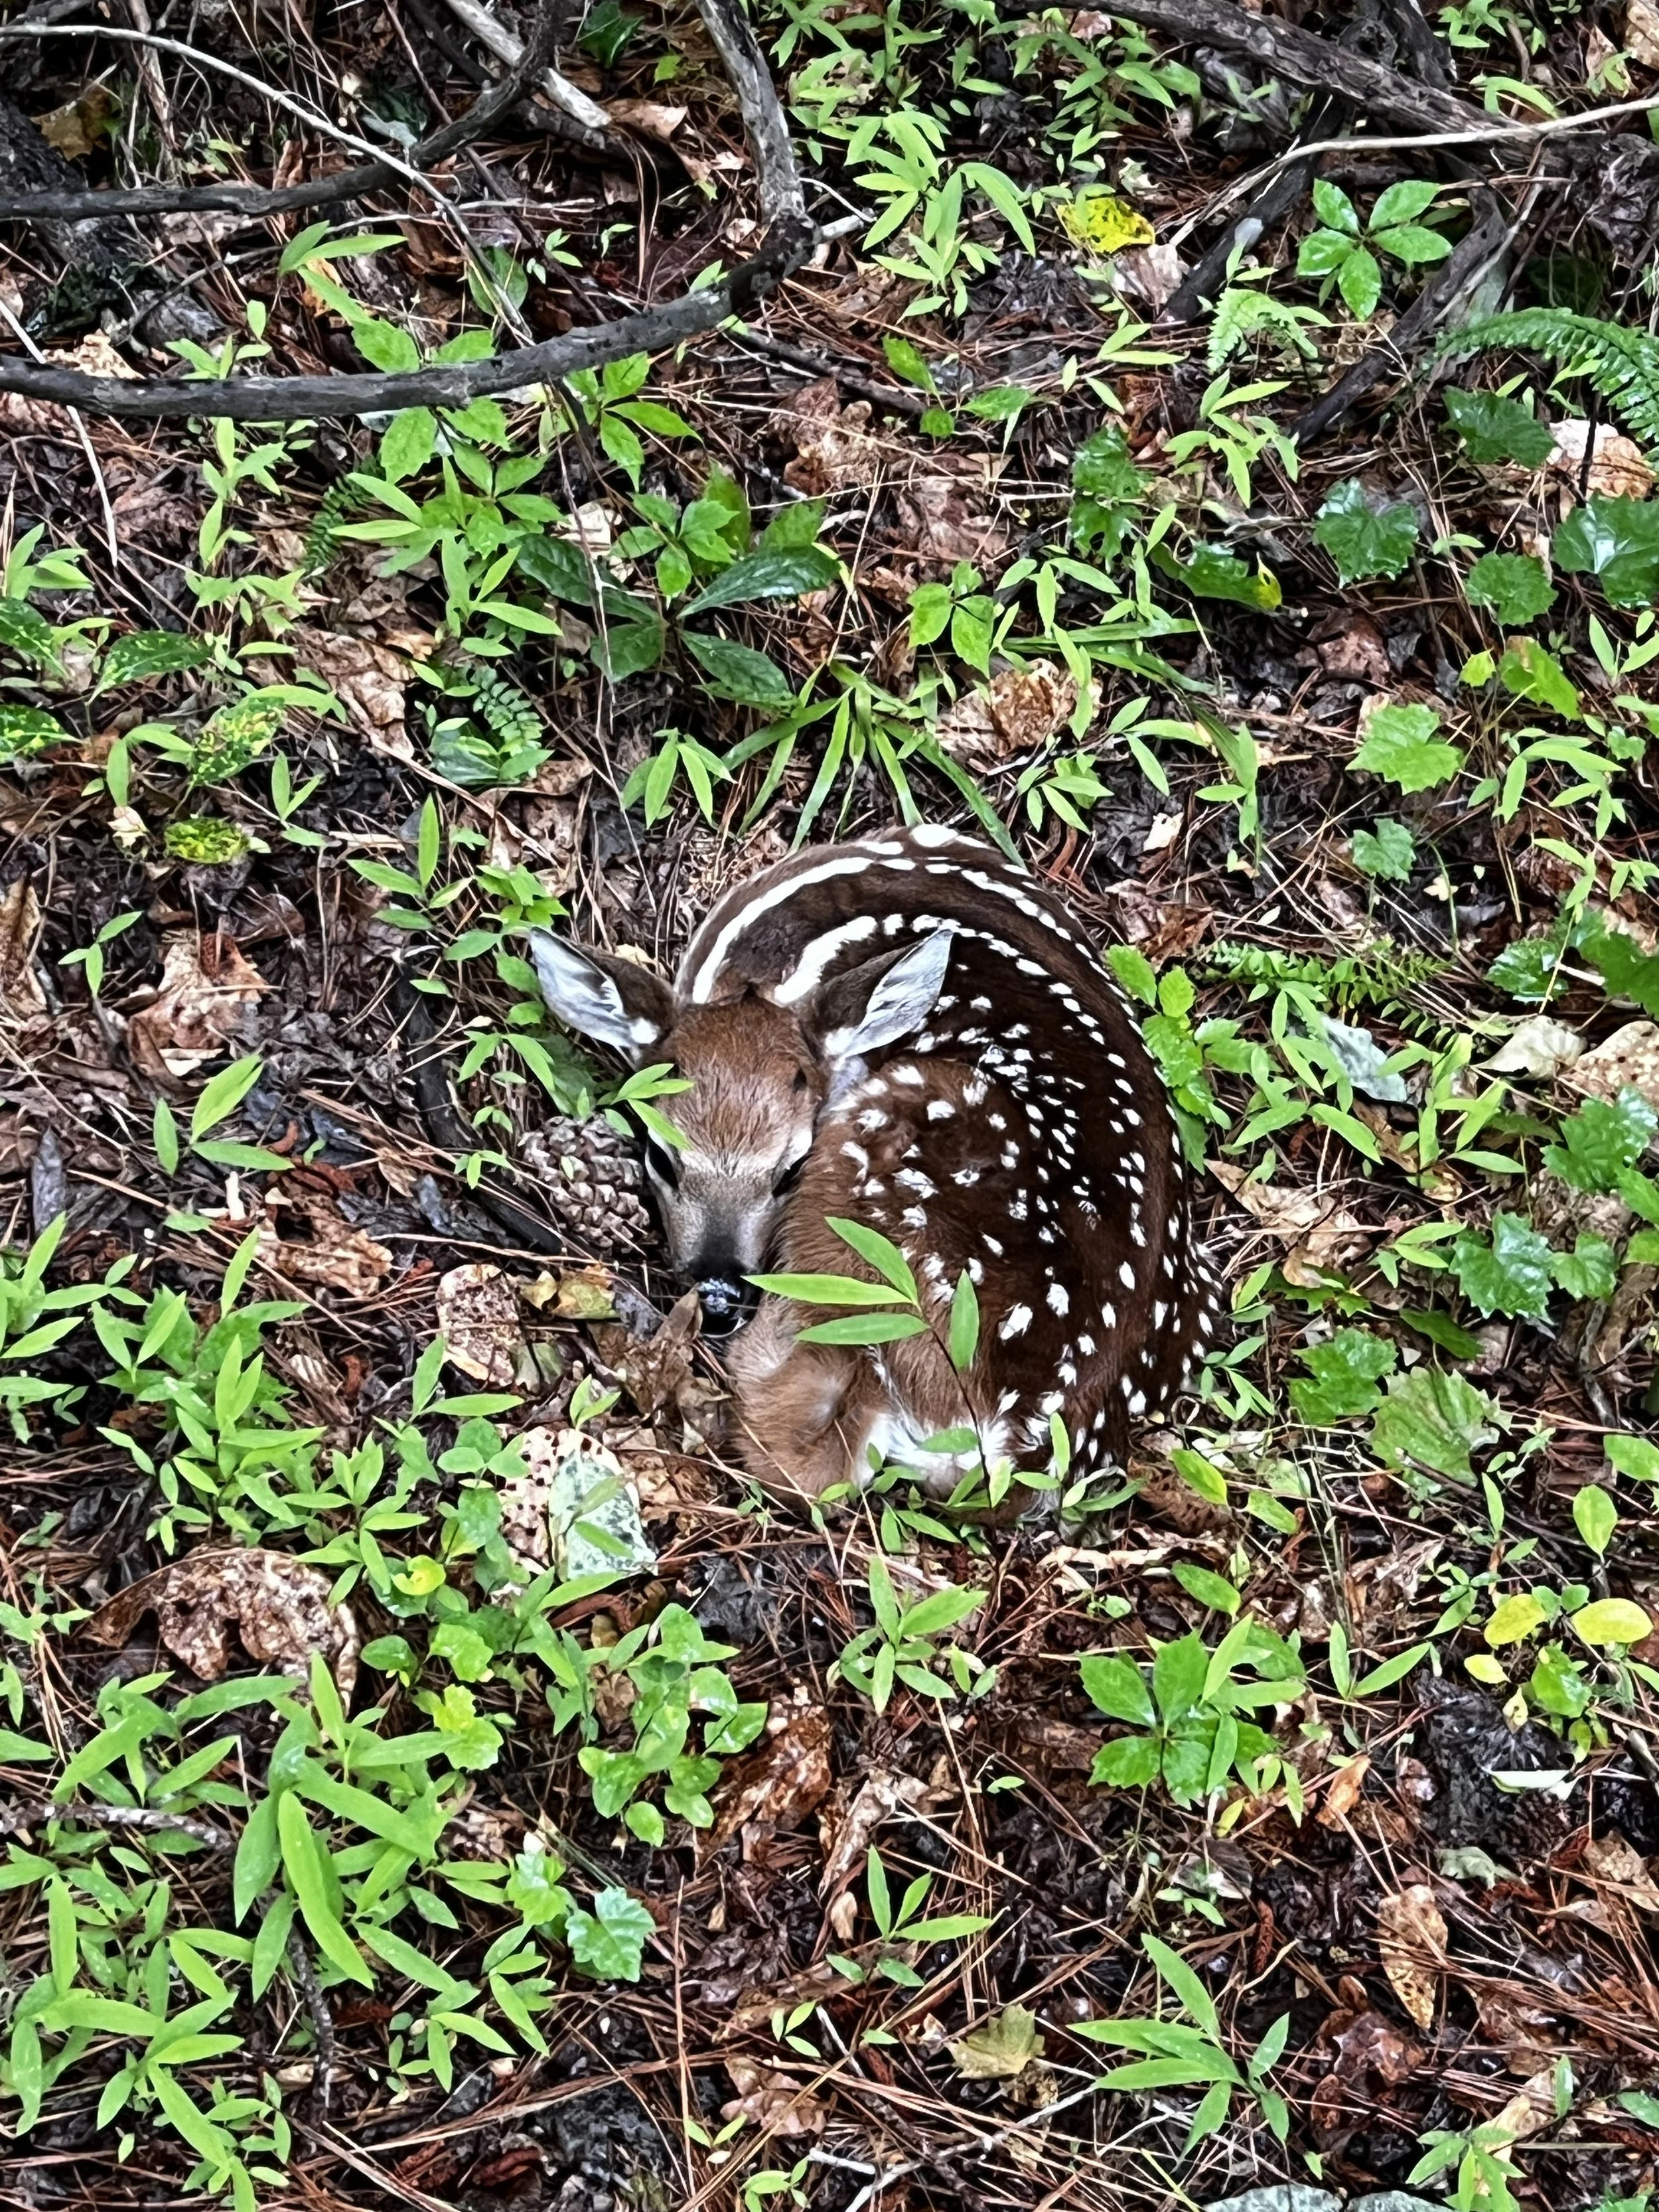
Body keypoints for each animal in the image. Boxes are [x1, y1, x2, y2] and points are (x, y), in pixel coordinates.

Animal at [530, 824, 1222, 1506]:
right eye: (660, 1156)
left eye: (791, 1168)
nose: (720, 1293)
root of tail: (1014, 1449)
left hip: (890, 1161)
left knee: (811, 1457)